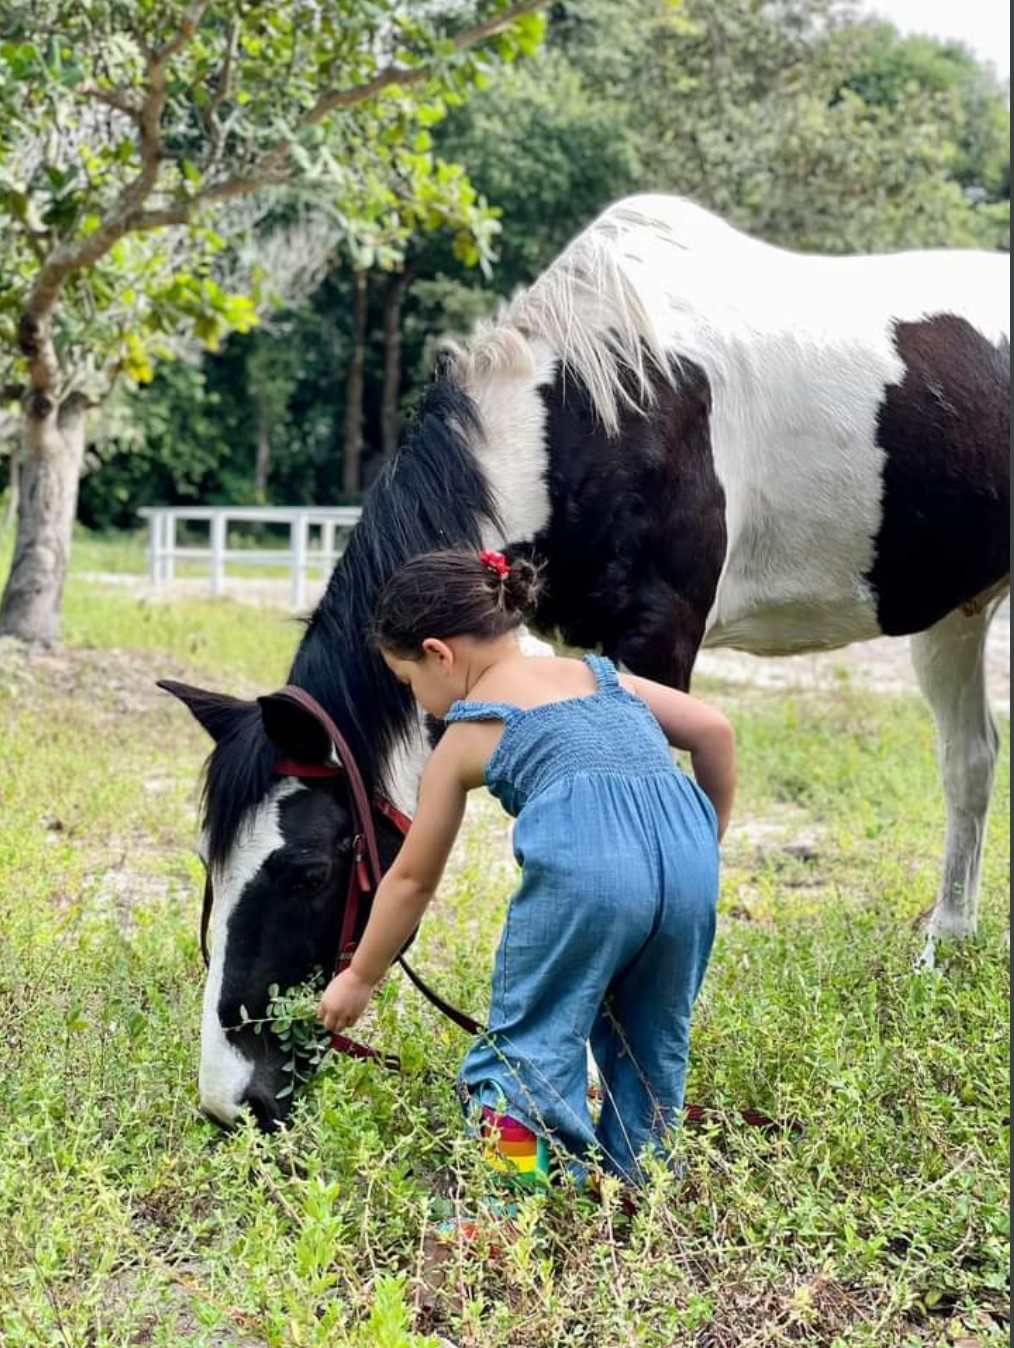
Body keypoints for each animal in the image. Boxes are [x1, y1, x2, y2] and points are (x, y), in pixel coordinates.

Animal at [162, 195, 1008, 1132]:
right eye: (208, 859)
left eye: (308, 870)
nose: (232, 1101)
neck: (597, 410)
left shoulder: (659, 641)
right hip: (957, 615)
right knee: (970, 764)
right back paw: (945, 950)